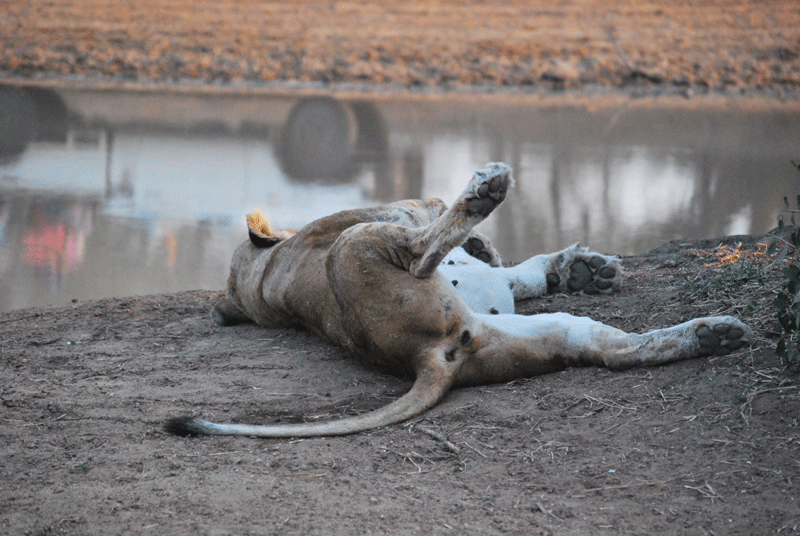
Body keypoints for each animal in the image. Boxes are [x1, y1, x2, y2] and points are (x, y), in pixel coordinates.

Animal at [165, 162, 752, 439]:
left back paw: (714, 333)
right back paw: (484, 191)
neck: (261, 278)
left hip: (547, 331)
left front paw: (582, 269)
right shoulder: (388, 210)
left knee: (613, 351)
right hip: (356, 243)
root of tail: (426, 359)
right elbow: (434, 214)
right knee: (423, 249)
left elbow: (518, 274)